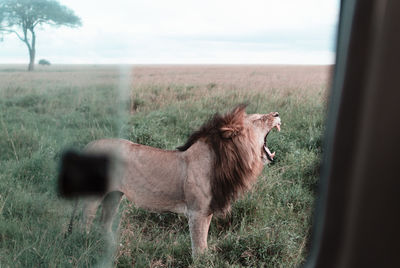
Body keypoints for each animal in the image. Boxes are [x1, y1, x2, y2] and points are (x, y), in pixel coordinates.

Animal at [77, 104, 282, 255]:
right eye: (258, 119)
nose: (277, 114)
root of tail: (89, 145)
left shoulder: (207, 211)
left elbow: (203, 244)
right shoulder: (197, 212)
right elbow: (199, 246)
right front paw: (202, 263)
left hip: (114, 195)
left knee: (104, 222)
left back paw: (111, 248)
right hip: (92, 197)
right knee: (84, 222)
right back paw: (83, 245)